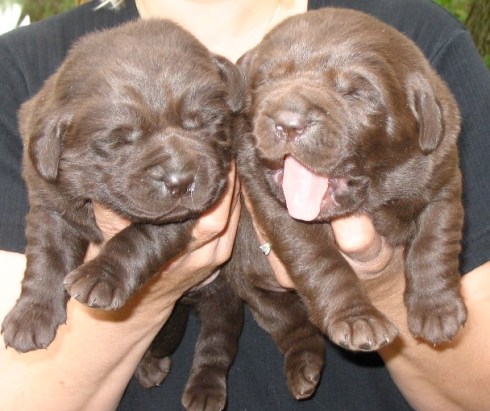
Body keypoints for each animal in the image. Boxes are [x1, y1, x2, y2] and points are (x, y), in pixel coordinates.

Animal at [1, 19, 244, 410]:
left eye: (206, 123)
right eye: (117, 141)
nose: (180, 180)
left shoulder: (177, 217)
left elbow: (139, 235)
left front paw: (101, 275)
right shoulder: (49, 203)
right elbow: (46, 257)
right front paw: (31, 314)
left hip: (222, 297)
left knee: (217, 341)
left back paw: (205, 389)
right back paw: (149, 365)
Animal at [226, 8, 467, 398]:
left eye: (356, 93)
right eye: (265, 80)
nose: (287, 122)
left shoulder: (444, 174)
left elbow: (436, 239)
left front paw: (437, 309)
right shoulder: (276, 207)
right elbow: (320, 261)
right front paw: (358, 319)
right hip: (253, 288)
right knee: (289, 324)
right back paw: (304, 368)